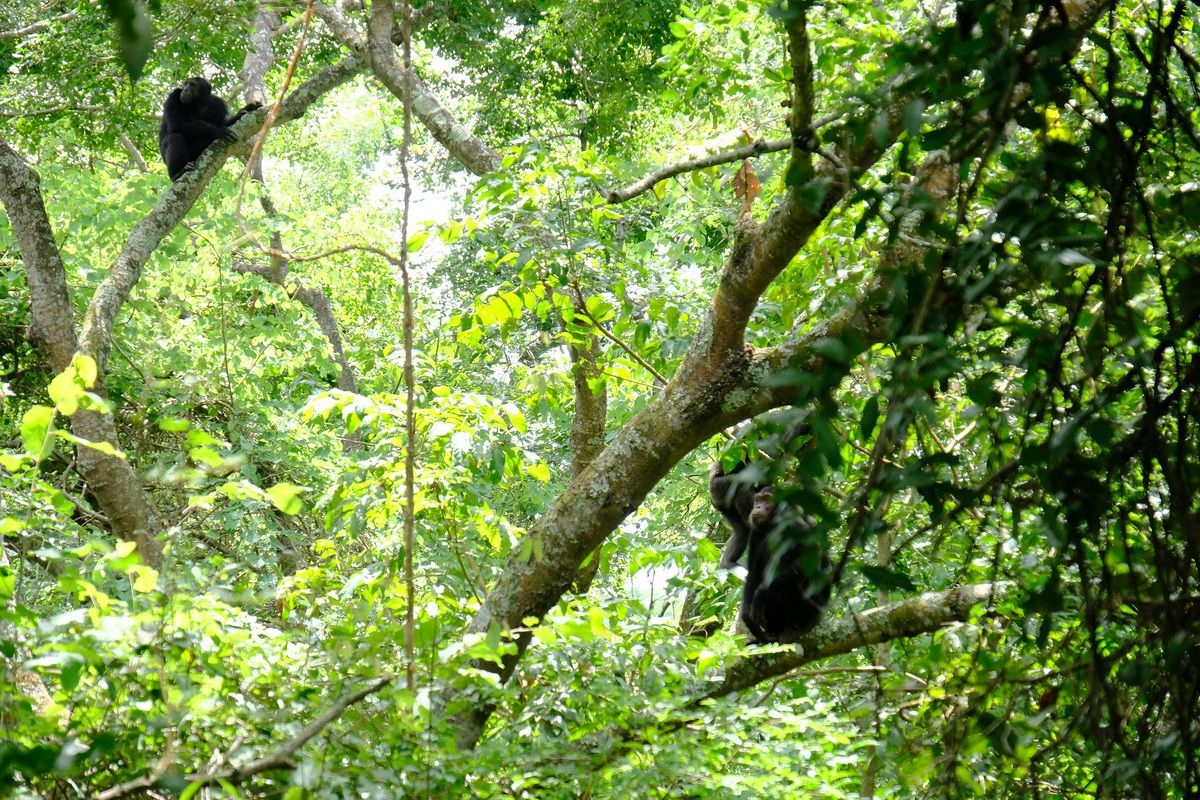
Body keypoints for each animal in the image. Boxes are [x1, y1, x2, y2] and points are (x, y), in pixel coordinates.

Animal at [705, 422, 830, 642]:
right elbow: (771, 449)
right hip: (722, 488)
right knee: (744, 487)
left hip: (725, 507)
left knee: (741, 531)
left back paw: (729, 561)